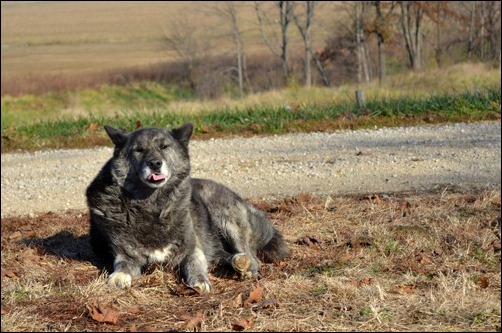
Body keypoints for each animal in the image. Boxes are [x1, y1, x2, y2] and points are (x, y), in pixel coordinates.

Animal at [85, 122, 290, 290]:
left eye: (164, 147)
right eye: (139, 150)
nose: (155, 163)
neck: (153, 206)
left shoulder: (192, 249)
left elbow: (194, 264)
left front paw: (199, 280)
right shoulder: (127, 256)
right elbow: (123, 265)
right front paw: (118, 276)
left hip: (225, 215)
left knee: (251, 256)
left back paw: (245, 267)